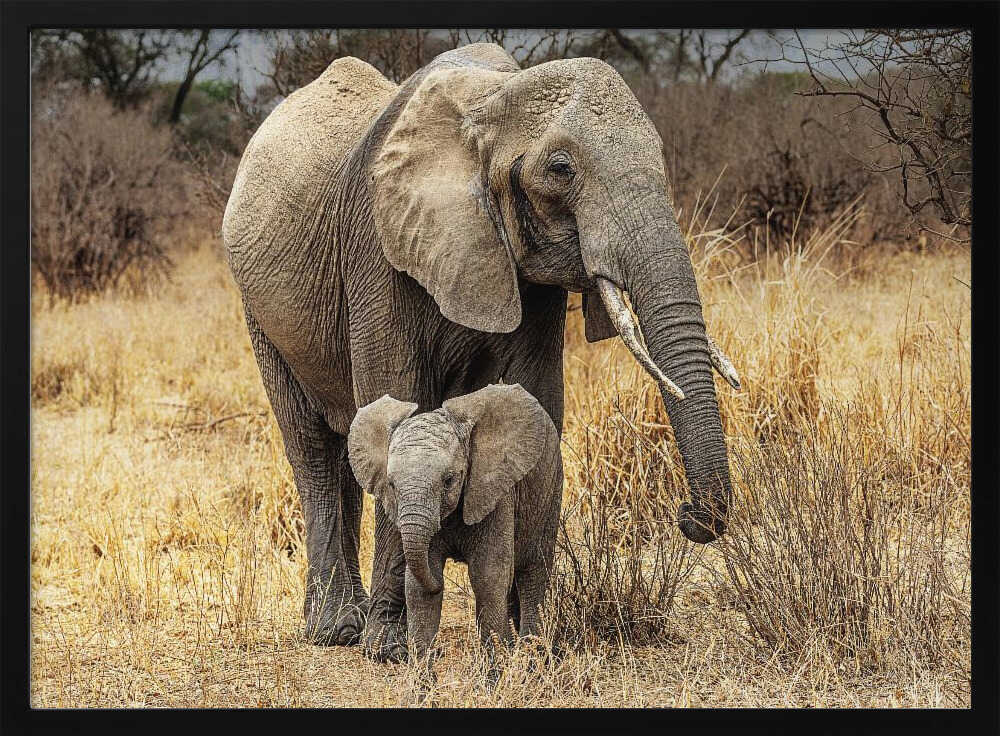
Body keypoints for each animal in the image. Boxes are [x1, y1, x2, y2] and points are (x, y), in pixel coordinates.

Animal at [347, 383, 563, 668]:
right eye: (391, 485)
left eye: (449, 480)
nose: (441, 583)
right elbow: (418, 589)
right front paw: (422, 677)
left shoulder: (493, 492)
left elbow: (488, 576)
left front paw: (497, 672)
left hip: (550, 484)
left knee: (534, 570)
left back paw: (534, 657)